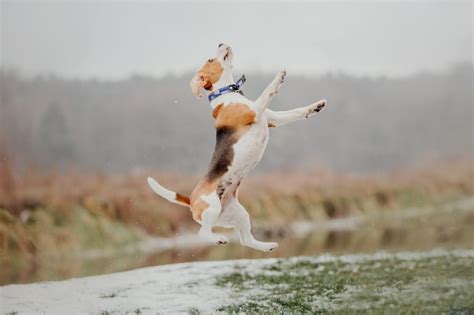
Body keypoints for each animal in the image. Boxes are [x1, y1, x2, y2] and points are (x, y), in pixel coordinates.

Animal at [148, 43, 326, 253]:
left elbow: (295, 112)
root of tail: (191, 199)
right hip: (211, 207)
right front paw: (279, 77)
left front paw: (316, 107)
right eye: (210, 59)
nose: (220, 43)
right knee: (202, 233)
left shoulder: (271, 118)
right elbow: (267, 91)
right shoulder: (255, 110)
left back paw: (267, 246)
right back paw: (219, 239)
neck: (226, 92)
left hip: (238, 214)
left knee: (245, 240)